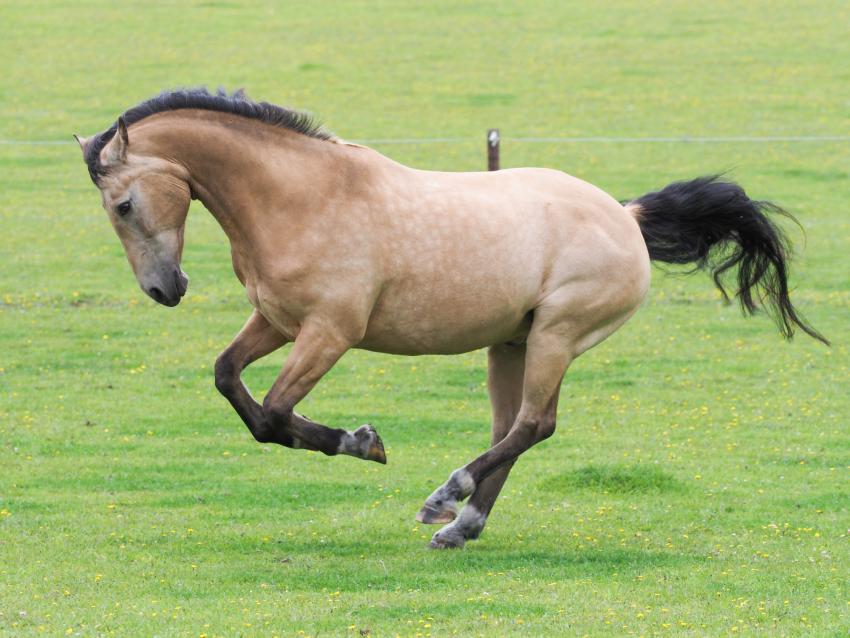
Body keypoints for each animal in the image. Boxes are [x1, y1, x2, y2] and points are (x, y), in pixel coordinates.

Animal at [74, 88, 827, 549]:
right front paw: (359, 440)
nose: (164, 288)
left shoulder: (330, 333)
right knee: (512, 430)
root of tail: (625, 215)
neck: (304, 198)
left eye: (122, 205)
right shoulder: (279, 322)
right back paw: (461, 525)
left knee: (534, 425)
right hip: (511, 344)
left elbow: (275, 413)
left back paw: (446, 497)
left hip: (558, 335)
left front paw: (361, 442)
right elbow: (232, 382)